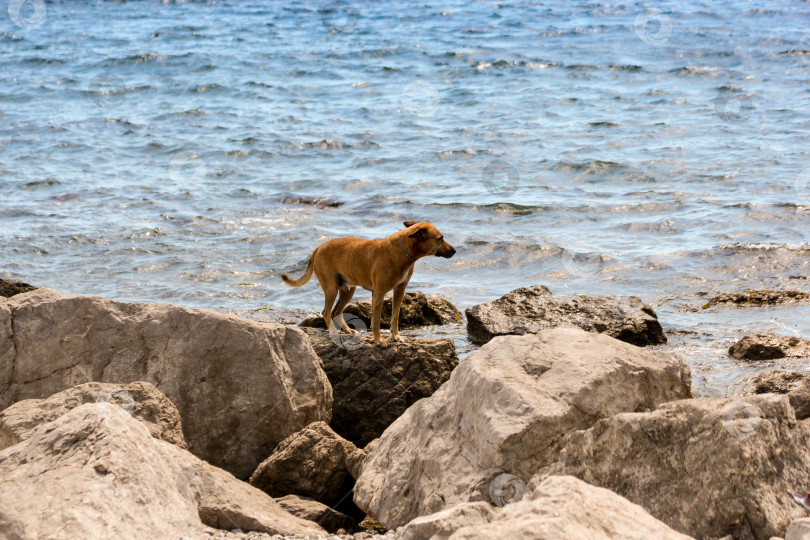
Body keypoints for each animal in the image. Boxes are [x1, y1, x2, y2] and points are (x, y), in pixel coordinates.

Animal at [280, 221, 454, 348]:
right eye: (440, 238)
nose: (455, 251)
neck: (402, 251)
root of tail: (318, 247)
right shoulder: (378, 293)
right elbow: (376, 321)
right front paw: (379, 341)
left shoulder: (400, 290)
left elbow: (395, 317)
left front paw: (395, 336)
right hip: (331, 288)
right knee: (326, 312)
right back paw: (334, 332)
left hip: (348, 290)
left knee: (336, 312)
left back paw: (348, 330)